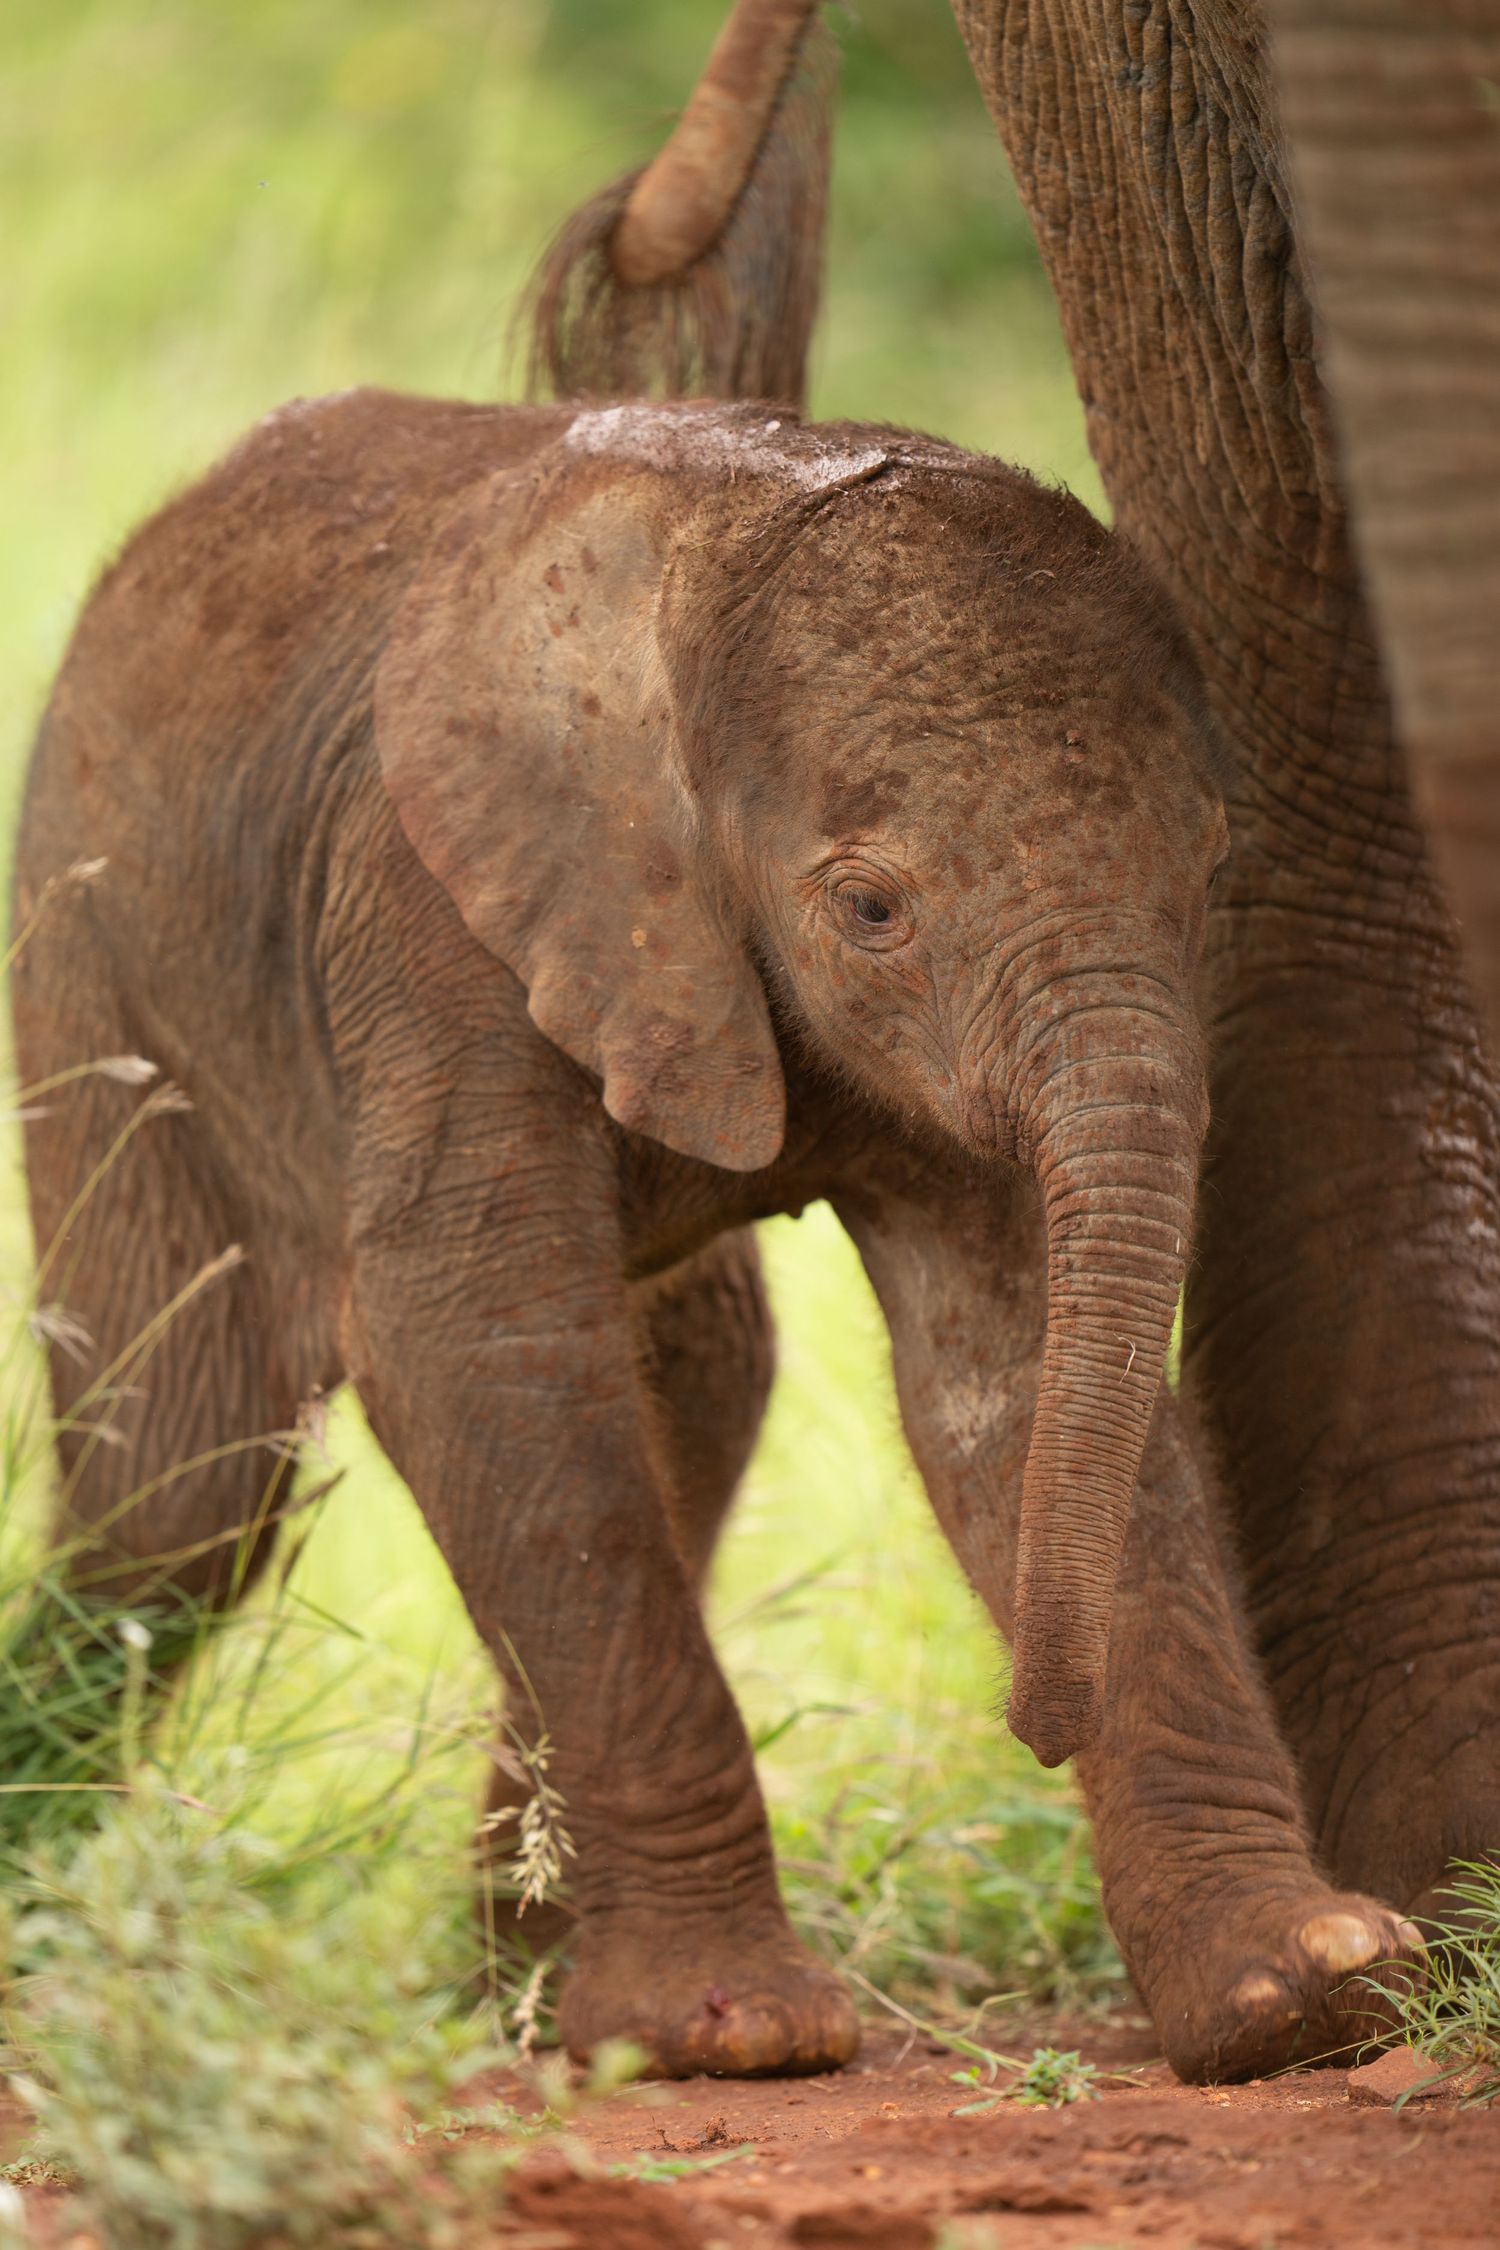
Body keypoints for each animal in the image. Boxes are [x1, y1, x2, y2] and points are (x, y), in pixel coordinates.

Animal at [14, 380, 1421, 2081]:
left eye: (1213, 869)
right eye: (870, 908)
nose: (1029, 1724)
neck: (730, 539)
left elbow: (1012, 1370)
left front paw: (1315, 1984)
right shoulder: (429, 911)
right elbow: (469, 1336)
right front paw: (730, 2026)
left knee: (684, 1389)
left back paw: (518, 1983)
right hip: (95, 962)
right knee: (184, 1484)